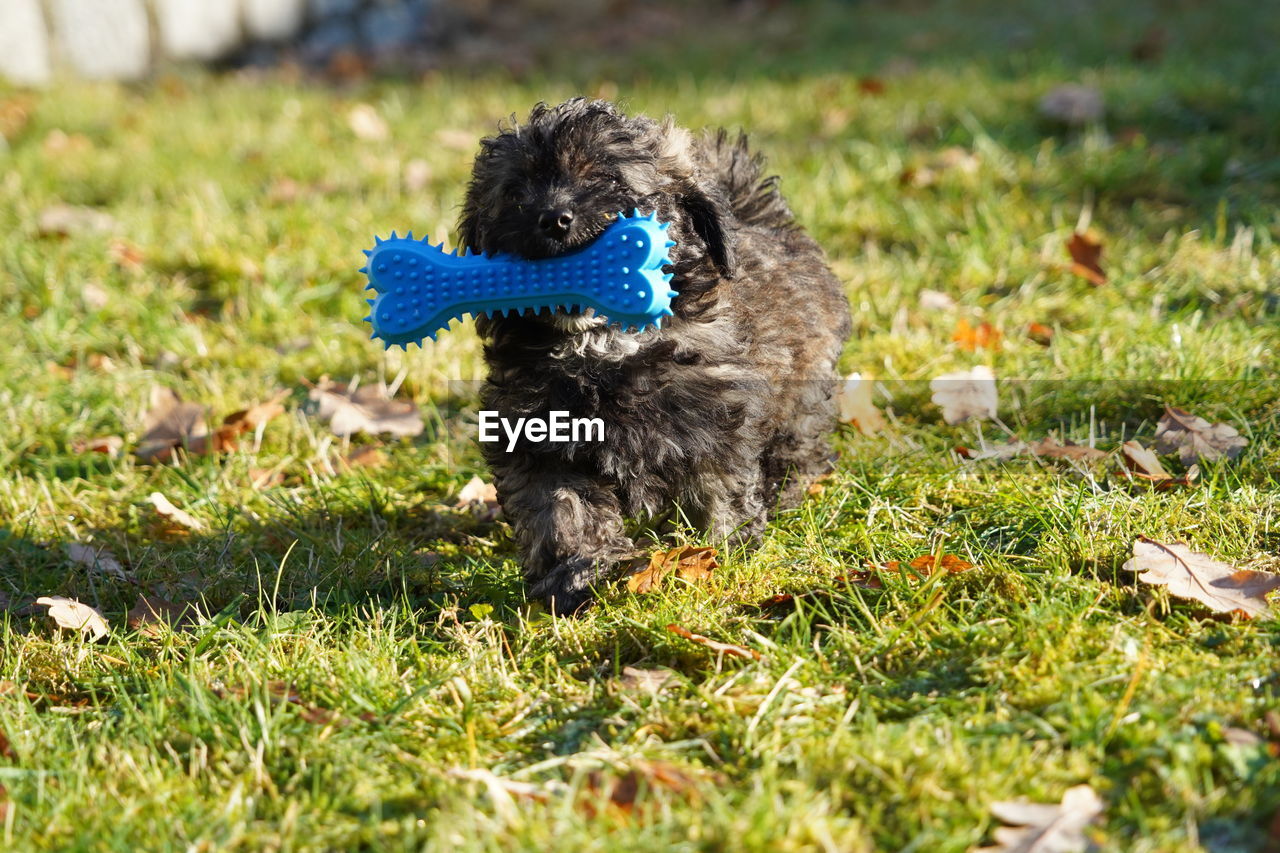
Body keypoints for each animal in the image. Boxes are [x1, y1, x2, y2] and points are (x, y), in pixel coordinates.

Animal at [458, 97, 849, 612]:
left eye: (608, 179)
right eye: (516, 190)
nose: (554, 217)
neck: (601, 347)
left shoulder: (717, 423)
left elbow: (720, 490)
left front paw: (724, 551)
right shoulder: (537, 440)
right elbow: (562, 513)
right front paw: (576, 579)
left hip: (803, 393)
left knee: (798, 445)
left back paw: (786, 494)